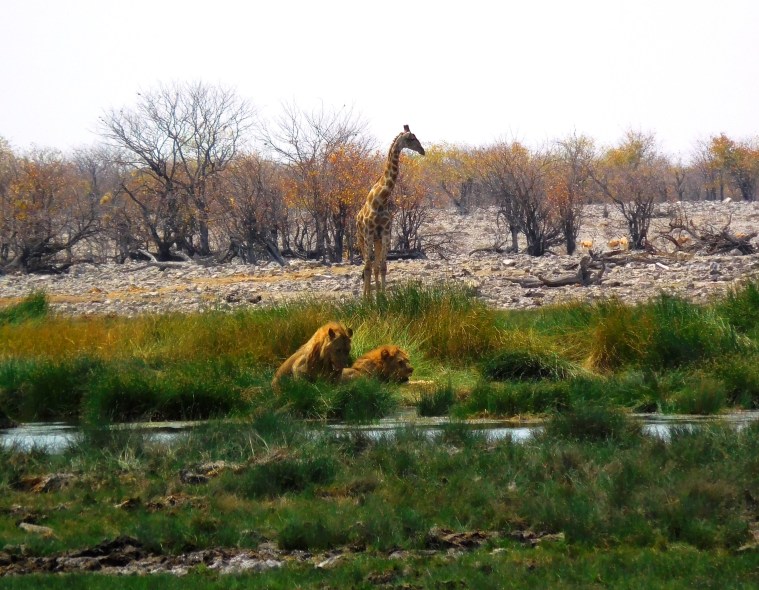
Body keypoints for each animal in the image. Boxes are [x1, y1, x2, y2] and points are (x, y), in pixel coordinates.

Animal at [356, 125, 425, 299]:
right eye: (411, 138)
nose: (422, 151)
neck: (381, 200)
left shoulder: (385, 233)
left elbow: (382, 267)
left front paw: (382, 298)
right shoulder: (369, 233)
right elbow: (368, 267)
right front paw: (367, 299)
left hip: (377, 240)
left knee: (374, 266)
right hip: (361, 238)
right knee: (365, 266)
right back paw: (366, 296)